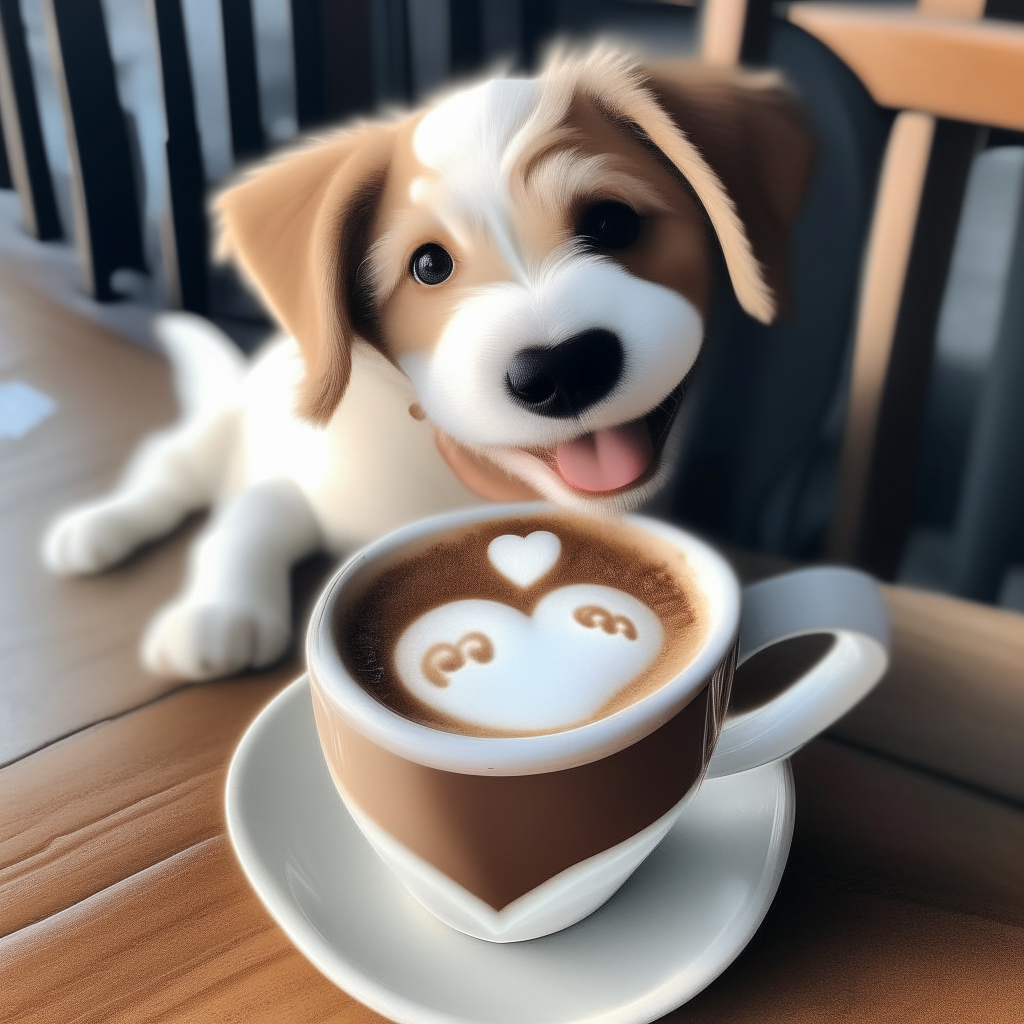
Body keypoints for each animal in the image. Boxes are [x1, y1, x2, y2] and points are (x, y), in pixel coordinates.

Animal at [41, 46, 815, 679]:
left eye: (612, 222)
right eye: (429, 266)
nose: (561, 370)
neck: (477, 482)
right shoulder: (291, 474)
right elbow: (250, 517)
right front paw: (217, 613)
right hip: (212, 439)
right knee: (166, 473)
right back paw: (99, 528)